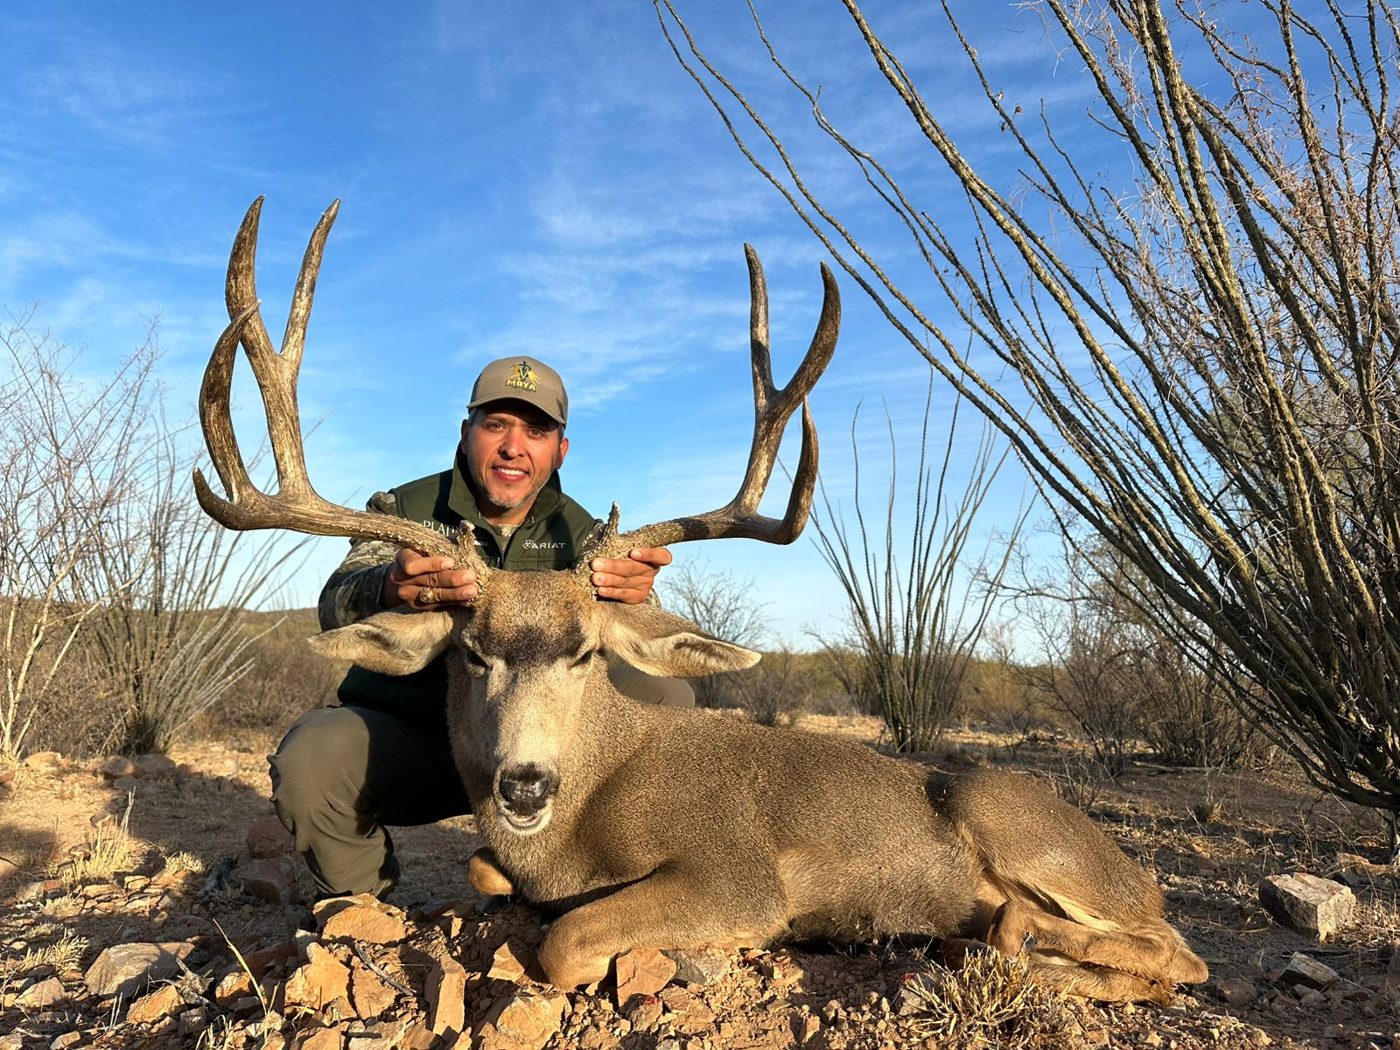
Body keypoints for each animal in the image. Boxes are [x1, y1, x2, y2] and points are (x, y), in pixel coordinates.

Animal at [195, 198, 1209, 1004]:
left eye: (586, 652)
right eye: (471, 651)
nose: (524, 783)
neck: (581, 818)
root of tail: (1136, 871)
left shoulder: (738, 877)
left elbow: (566, 939)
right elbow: (491, 877)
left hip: (1018, 825)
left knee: (1174, 951)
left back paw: (1007, 939)